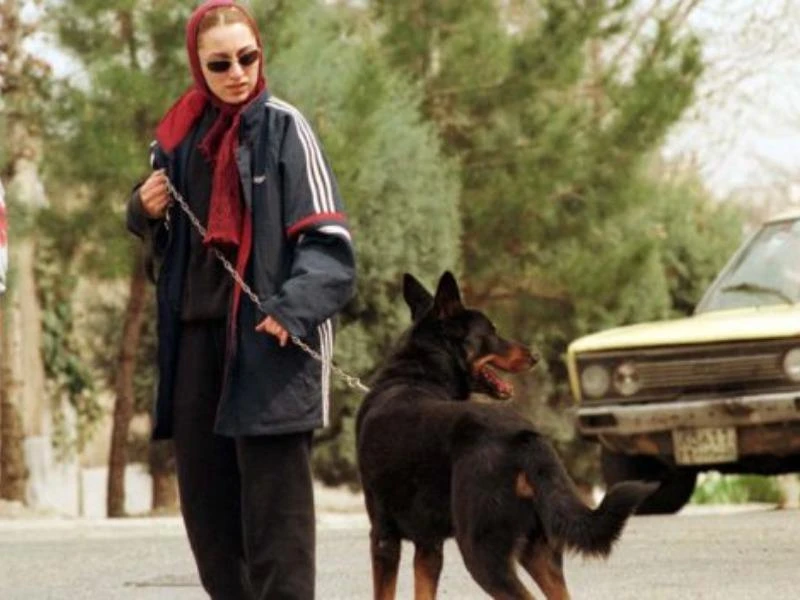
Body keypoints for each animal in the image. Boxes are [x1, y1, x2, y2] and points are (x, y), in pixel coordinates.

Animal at [356, 272, 657, 599]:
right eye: (493, 332)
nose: (535, 355)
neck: (416, 374)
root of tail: (525, 435)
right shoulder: (428, 546)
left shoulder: (383, 538)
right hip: (537, 551)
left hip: (481, 552)